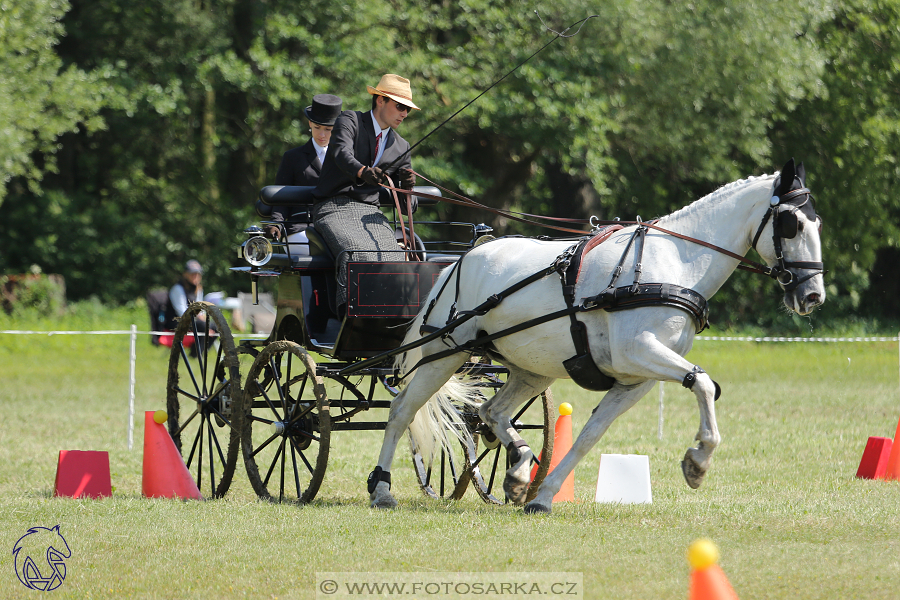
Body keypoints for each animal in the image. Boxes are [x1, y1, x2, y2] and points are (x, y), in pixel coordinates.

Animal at [364, 158, 824, 510]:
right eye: (791, 224)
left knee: (490, 412)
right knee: (403, 410)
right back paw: (382, 488)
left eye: (817, 223)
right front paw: (699, 461)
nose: (813, 295)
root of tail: (461, 259)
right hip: (445, 352)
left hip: (532, 367)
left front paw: (543, 497)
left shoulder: (636, 379)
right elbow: (705, 383)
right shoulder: (638, 350)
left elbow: (589, 436)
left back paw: (518, 470)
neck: (675, 263)